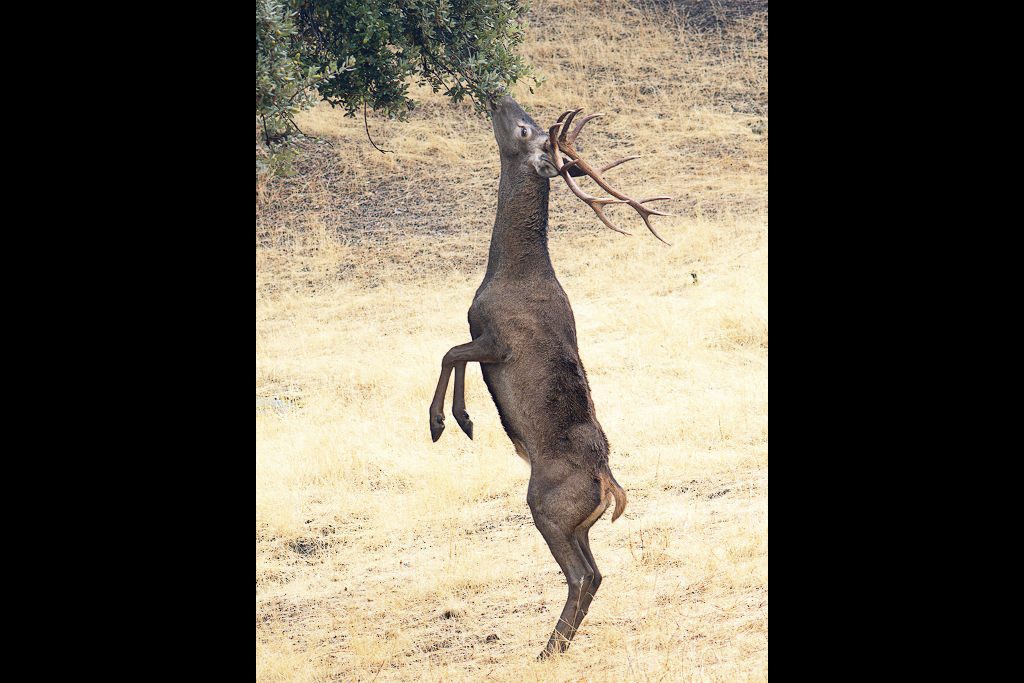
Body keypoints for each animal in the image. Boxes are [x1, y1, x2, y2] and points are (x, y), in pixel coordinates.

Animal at [428, 95, 671, 658]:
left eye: (523, 130)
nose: (500, 97)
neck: (510, 271)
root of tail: (608, 484)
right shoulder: (484, 339)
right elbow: (453, 356)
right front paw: (462, 419)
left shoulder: (496, 339)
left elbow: (449, 354)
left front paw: (449, 421)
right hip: (579, 523)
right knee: (597, 573)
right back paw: (557, 644)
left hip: (546, 506)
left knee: (581, 575)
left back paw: (547, 648)